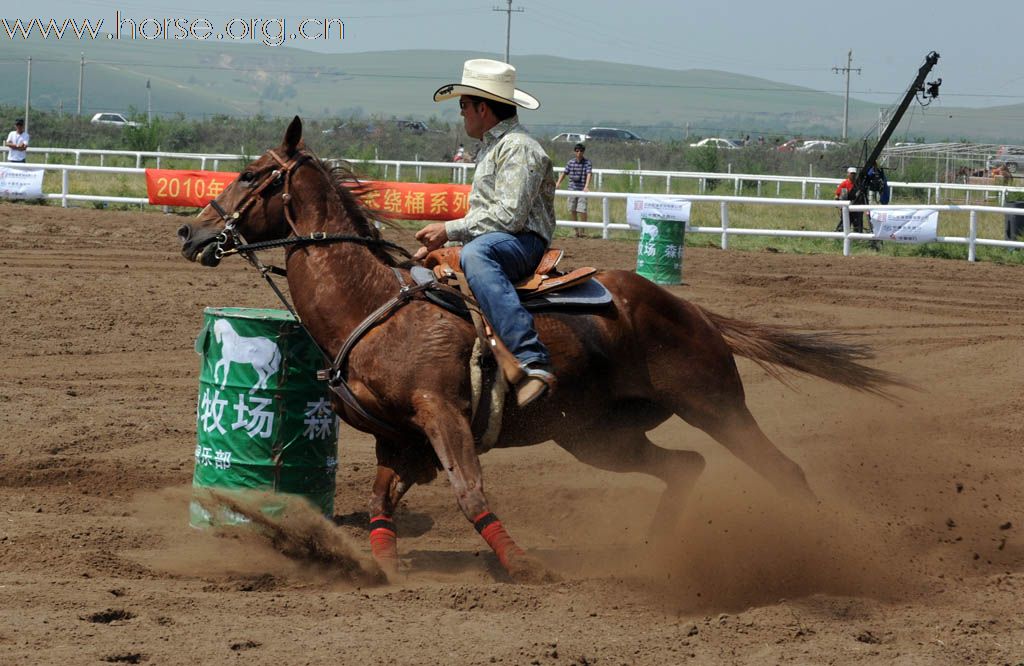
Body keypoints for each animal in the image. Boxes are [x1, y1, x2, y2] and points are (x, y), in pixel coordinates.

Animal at [180, 119, 901, 581]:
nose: (191, 231)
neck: (375, 308)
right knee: (685, 467)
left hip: (716, 403)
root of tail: (691, 311)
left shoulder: (442, 415)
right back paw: (654, 549)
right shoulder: (398, 437)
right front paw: (377, 566)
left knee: (782, 471)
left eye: (250, 173)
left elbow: (469, 490)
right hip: (600, 436)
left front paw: (522, 564)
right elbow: (384, 501)